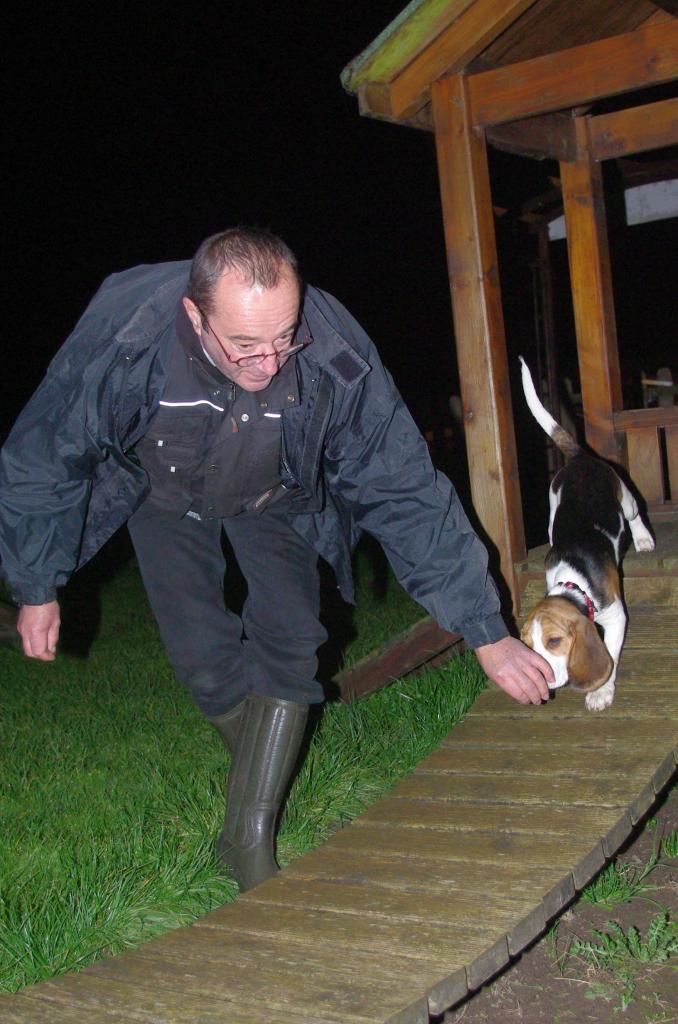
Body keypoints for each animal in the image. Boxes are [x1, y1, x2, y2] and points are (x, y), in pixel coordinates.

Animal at [518, 360, 655, 712]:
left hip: (625, 497)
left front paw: (600, 691)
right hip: (553, 506)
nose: (541, 676)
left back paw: (644, 540)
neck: (573, 580)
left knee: (635, 513)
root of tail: (580, 458)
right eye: (528, 646)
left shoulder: (616, 615)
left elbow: (611, 657)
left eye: (554, 641)